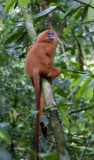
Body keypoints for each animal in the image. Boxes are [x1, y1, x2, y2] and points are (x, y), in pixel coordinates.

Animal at [24, 29, 59, 159]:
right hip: (44, 68)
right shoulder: (49, 48)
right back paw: (50, 78)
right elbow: (49, 58)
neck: (43, 41)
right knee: (54, 71)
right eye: (49, 34)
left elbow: (29, 48)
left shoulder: (35, 43)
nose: (51, 35)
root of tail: (34, 68)